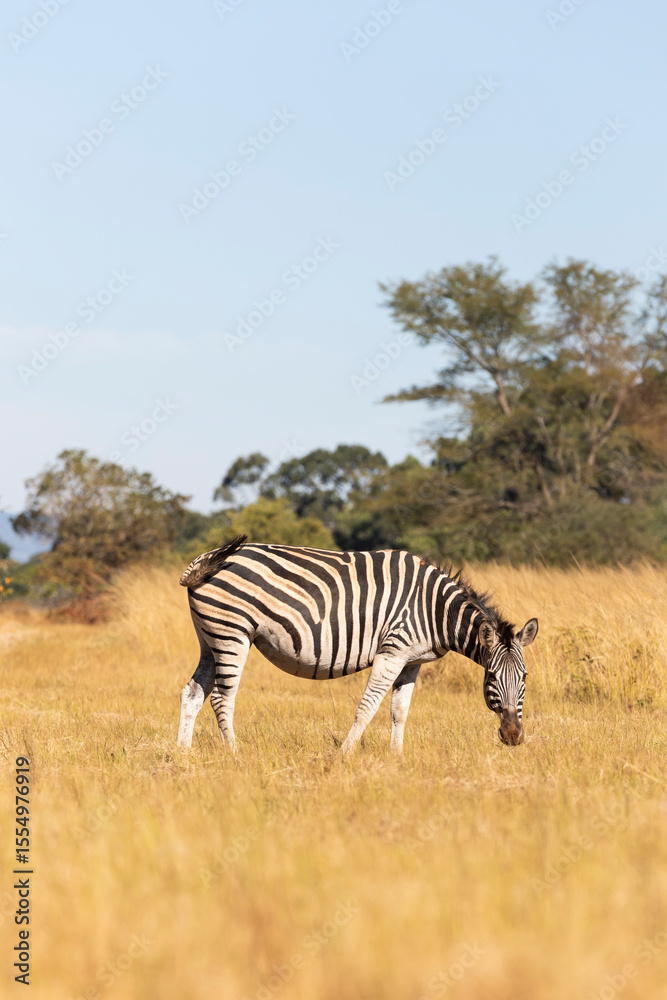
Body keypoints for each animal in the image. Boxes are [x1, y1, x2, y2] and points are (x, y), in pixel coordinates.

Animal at [176, 535, 538, 753]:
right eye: (491, 677)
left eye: (524, 679)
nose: (513, 737)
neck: (435, 610)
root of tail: (204, 558)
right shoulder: (393, 652)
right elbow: (367, 708)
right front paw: (345, 755)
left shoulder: (411, 661)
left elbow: (399, 712)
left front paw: (397, 758)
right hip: (232, 633)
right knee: (222, 698)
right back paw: (235, 754)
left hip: (210, 638)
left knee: (193, 693)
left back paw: (183, 754)